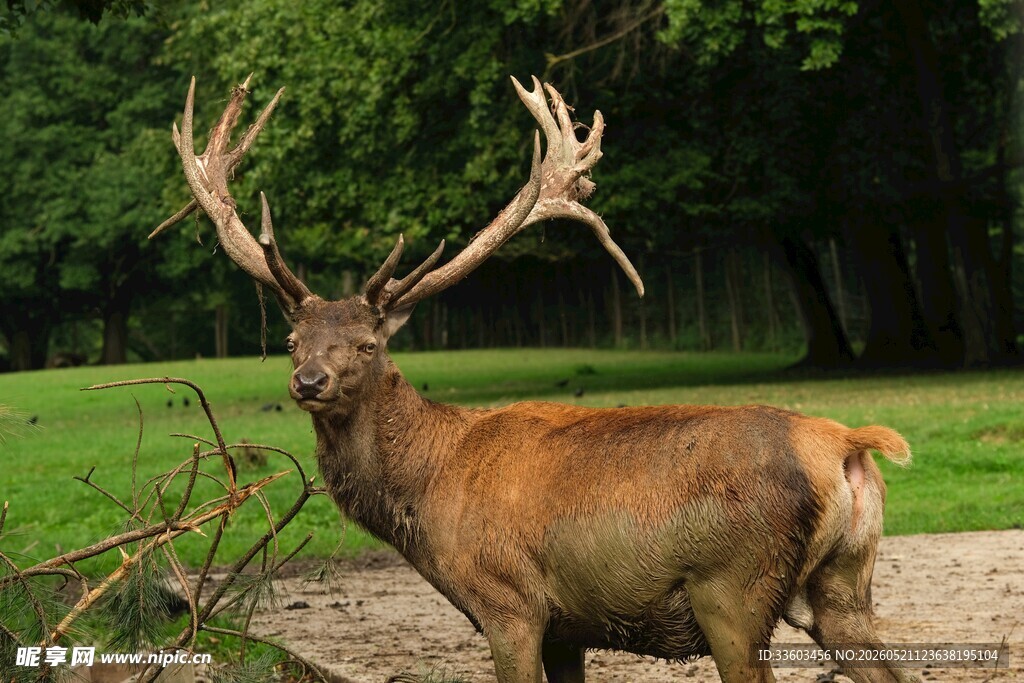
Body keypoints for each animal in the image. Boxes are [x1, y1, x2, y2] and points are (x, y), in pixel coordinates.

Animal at [152, 74, 918, 683]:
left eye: (367, 344)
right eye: (292, 340)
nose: (309, 380)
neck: (426, 493)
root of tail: (848, 446)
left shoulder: (509, 600)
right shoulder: (570, 626)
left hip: (732, 589)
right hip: (843, 584)